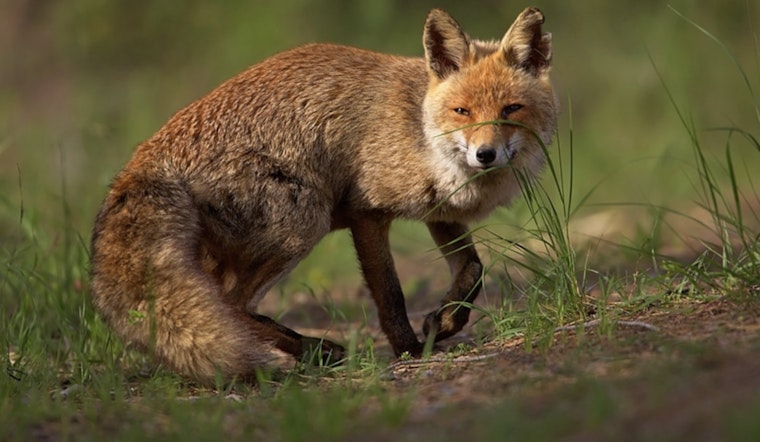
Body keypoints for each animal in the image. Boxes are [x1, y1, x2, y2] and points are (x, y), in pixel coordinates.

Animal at [90, 7, 557, 385]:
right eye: (462, 112)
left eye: (511, 110)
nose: (485, 154)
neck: (420, 131)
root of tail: (141, 160)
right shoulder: (367, 212)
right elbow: (391, 295)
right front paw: (409, 349)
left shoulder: (438, 210)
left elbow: (472, 270)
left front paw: (444, 321)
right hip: (304, 221)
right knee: (232, 305)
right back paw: (310, 350)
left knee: (225, 304)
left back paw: (307, 350)